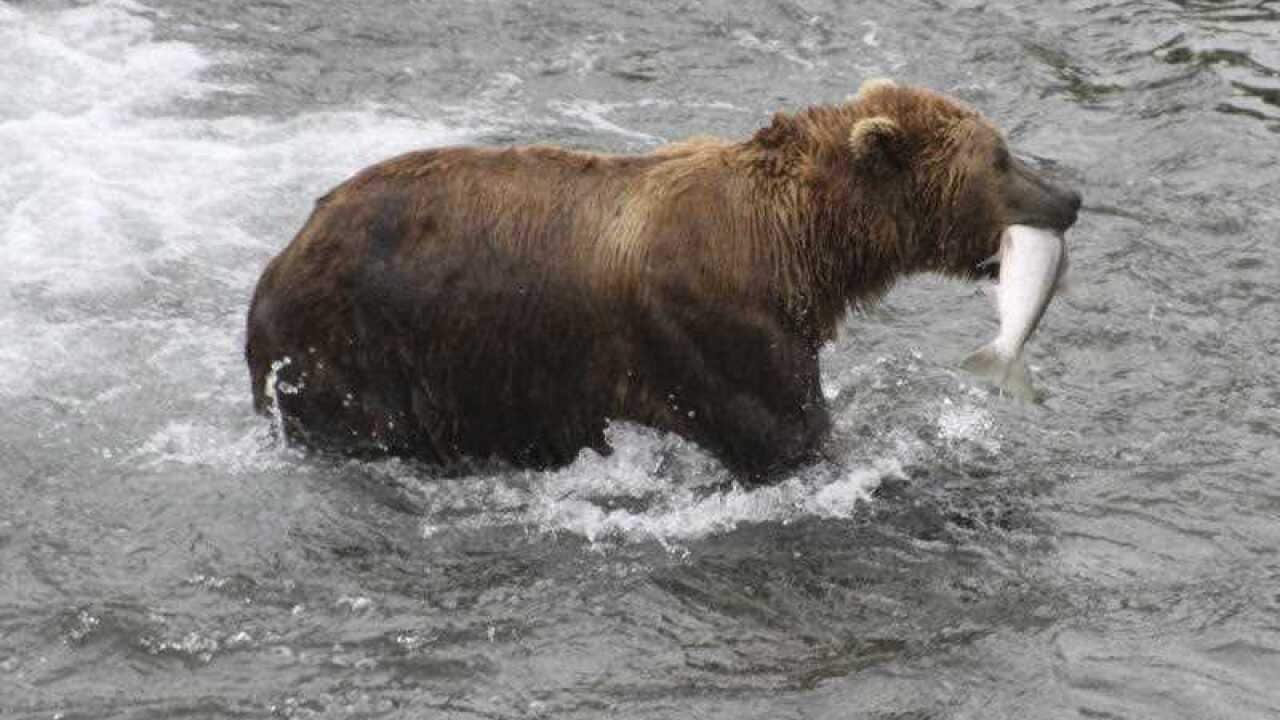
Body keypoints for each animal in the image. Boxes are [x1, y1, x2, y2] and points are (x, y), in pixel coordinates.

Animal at [245, 79, 1080, 480]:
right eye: (1000, 156)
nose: (1069, 196)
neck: (801, 245)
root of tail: (281, 256)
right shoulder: (714, 327)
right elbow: (788, 437)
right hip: (356, 345)